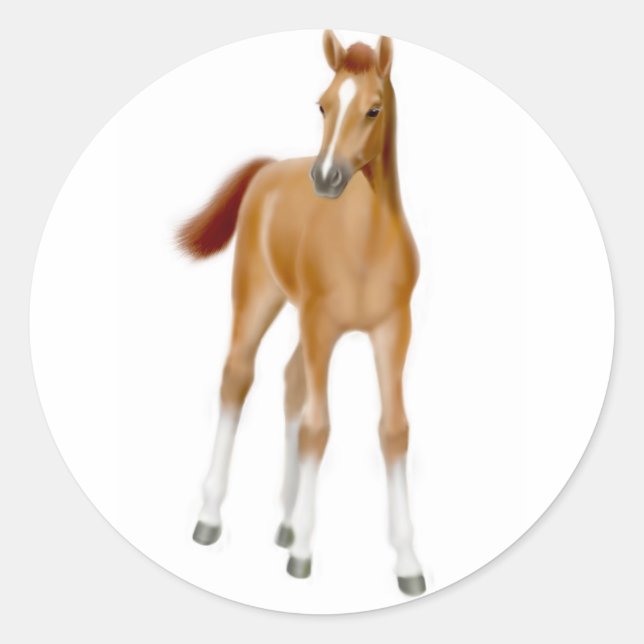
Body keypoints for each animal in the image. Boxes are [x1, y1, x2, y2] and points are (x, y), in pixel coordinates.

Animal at [178, 30, 426, 597]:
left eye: (374, 109)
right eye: (323, 104)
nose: (326, 176)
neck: (365, 245)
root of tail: (271, 167)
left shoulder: (393, 329)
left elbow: (394, 430)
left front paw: (408, 564)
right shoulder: (321, 325)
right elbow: (318, 427)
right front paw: (304, 555)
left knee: (291, 381)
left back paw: (286, 525)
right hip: (259, 295)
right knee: (237, 377)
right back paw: (209, 518)